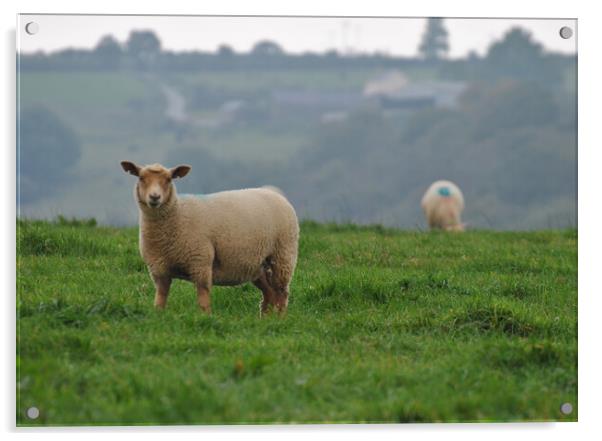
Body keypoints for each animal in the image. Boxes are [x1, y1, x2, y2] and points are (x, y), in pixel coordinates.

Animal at [119, 160, 298, 314]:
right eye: (141, 178)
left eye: (169, 179)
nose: (154, 197)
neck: (177, 215)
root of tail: (273, 192)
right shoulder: (159, 269)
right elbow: (161, 297)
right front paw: (158, 315)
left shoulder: (200, 261)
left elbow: (203, 297)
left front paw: (205, 317)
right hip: (258, 264)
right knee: (269, 293)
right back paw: (265, 319)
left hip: (282, 254)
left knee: (282, 293)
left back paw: (279, 318)